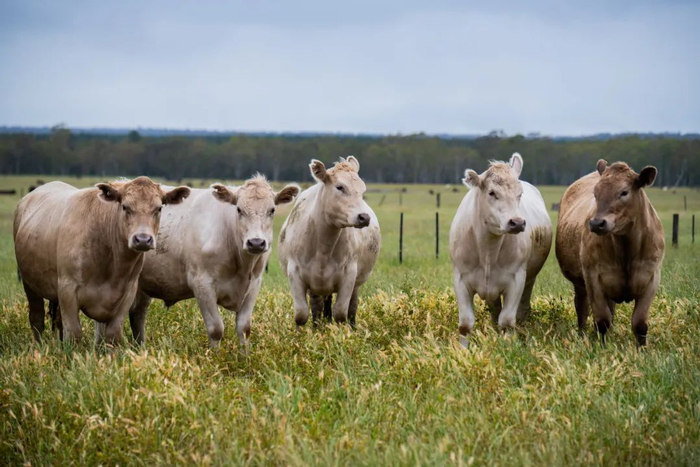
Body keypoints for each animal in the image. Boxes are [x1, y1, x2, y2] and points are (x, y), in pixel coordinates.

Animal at [13, 177, 190, 347]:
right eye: (125, 207)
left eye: (159, 208)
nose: (142, 239)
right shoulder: (67, 290)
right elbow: (74, 333)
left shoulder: (127, 295)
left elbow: (113, 335)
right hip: (30, 285)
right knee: (37, 319)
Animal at [129, 175, 300, 349]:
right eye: (239, 209)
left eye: (272, 210)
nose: (256, 242)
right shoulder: (202, 284)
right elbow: (216, 329)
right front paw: (215, 355)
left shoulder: (254, 285)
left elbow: (244, 328)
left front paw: (245, 355)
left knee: (138, 313)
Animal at [278, 156, 381, 327]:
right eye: (340, 187)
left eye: (362, 189)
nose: (364, 217)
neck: (323, 246)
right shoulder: (295, 273)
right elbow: (301, 314)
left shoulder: (349, 275)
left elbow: (340, 313)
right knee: (317, 308)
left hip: (356, 283)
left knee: (352, 307)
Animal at [450, 153, 552, 347]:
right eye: (492, 192)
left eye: (519, 194)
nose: (517, 222)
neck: (487, 250)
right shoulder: (461, 279)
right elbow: (465, 324)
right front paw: (462, 350)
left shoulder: (517, 280)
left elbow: (506, 321)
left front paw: (507, 347)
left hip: (529, 280)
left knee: (521, 311)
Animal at [555, 160, 664, 345]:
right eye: (595, 193)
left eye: (624, 192)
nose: (597, 223)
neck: (626, 248)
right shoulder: (593, 278)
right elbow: (602, 320)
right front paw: (602, 346)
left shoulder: (651, 277)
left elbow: (640, 323)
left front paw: (642, 349)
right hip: (580, 283)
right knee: (582, 309)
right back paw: (582, 335)